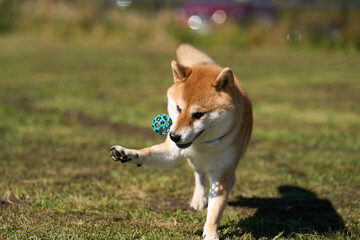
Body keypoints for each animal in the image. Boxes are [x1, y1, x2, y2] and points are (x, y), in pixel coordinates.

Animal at [109, 44, 253, 239]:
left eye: (198, 114)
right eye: (178, 108)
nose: (174, 136)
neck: (204, 145)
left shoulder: (223, 171)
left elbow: (215, 211)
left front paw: (210, 233)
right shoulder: (172, 152)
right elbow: (147, 153)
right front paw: (127, 153)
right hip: (193, 162)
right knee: (199, 174)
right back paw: (199, 198)